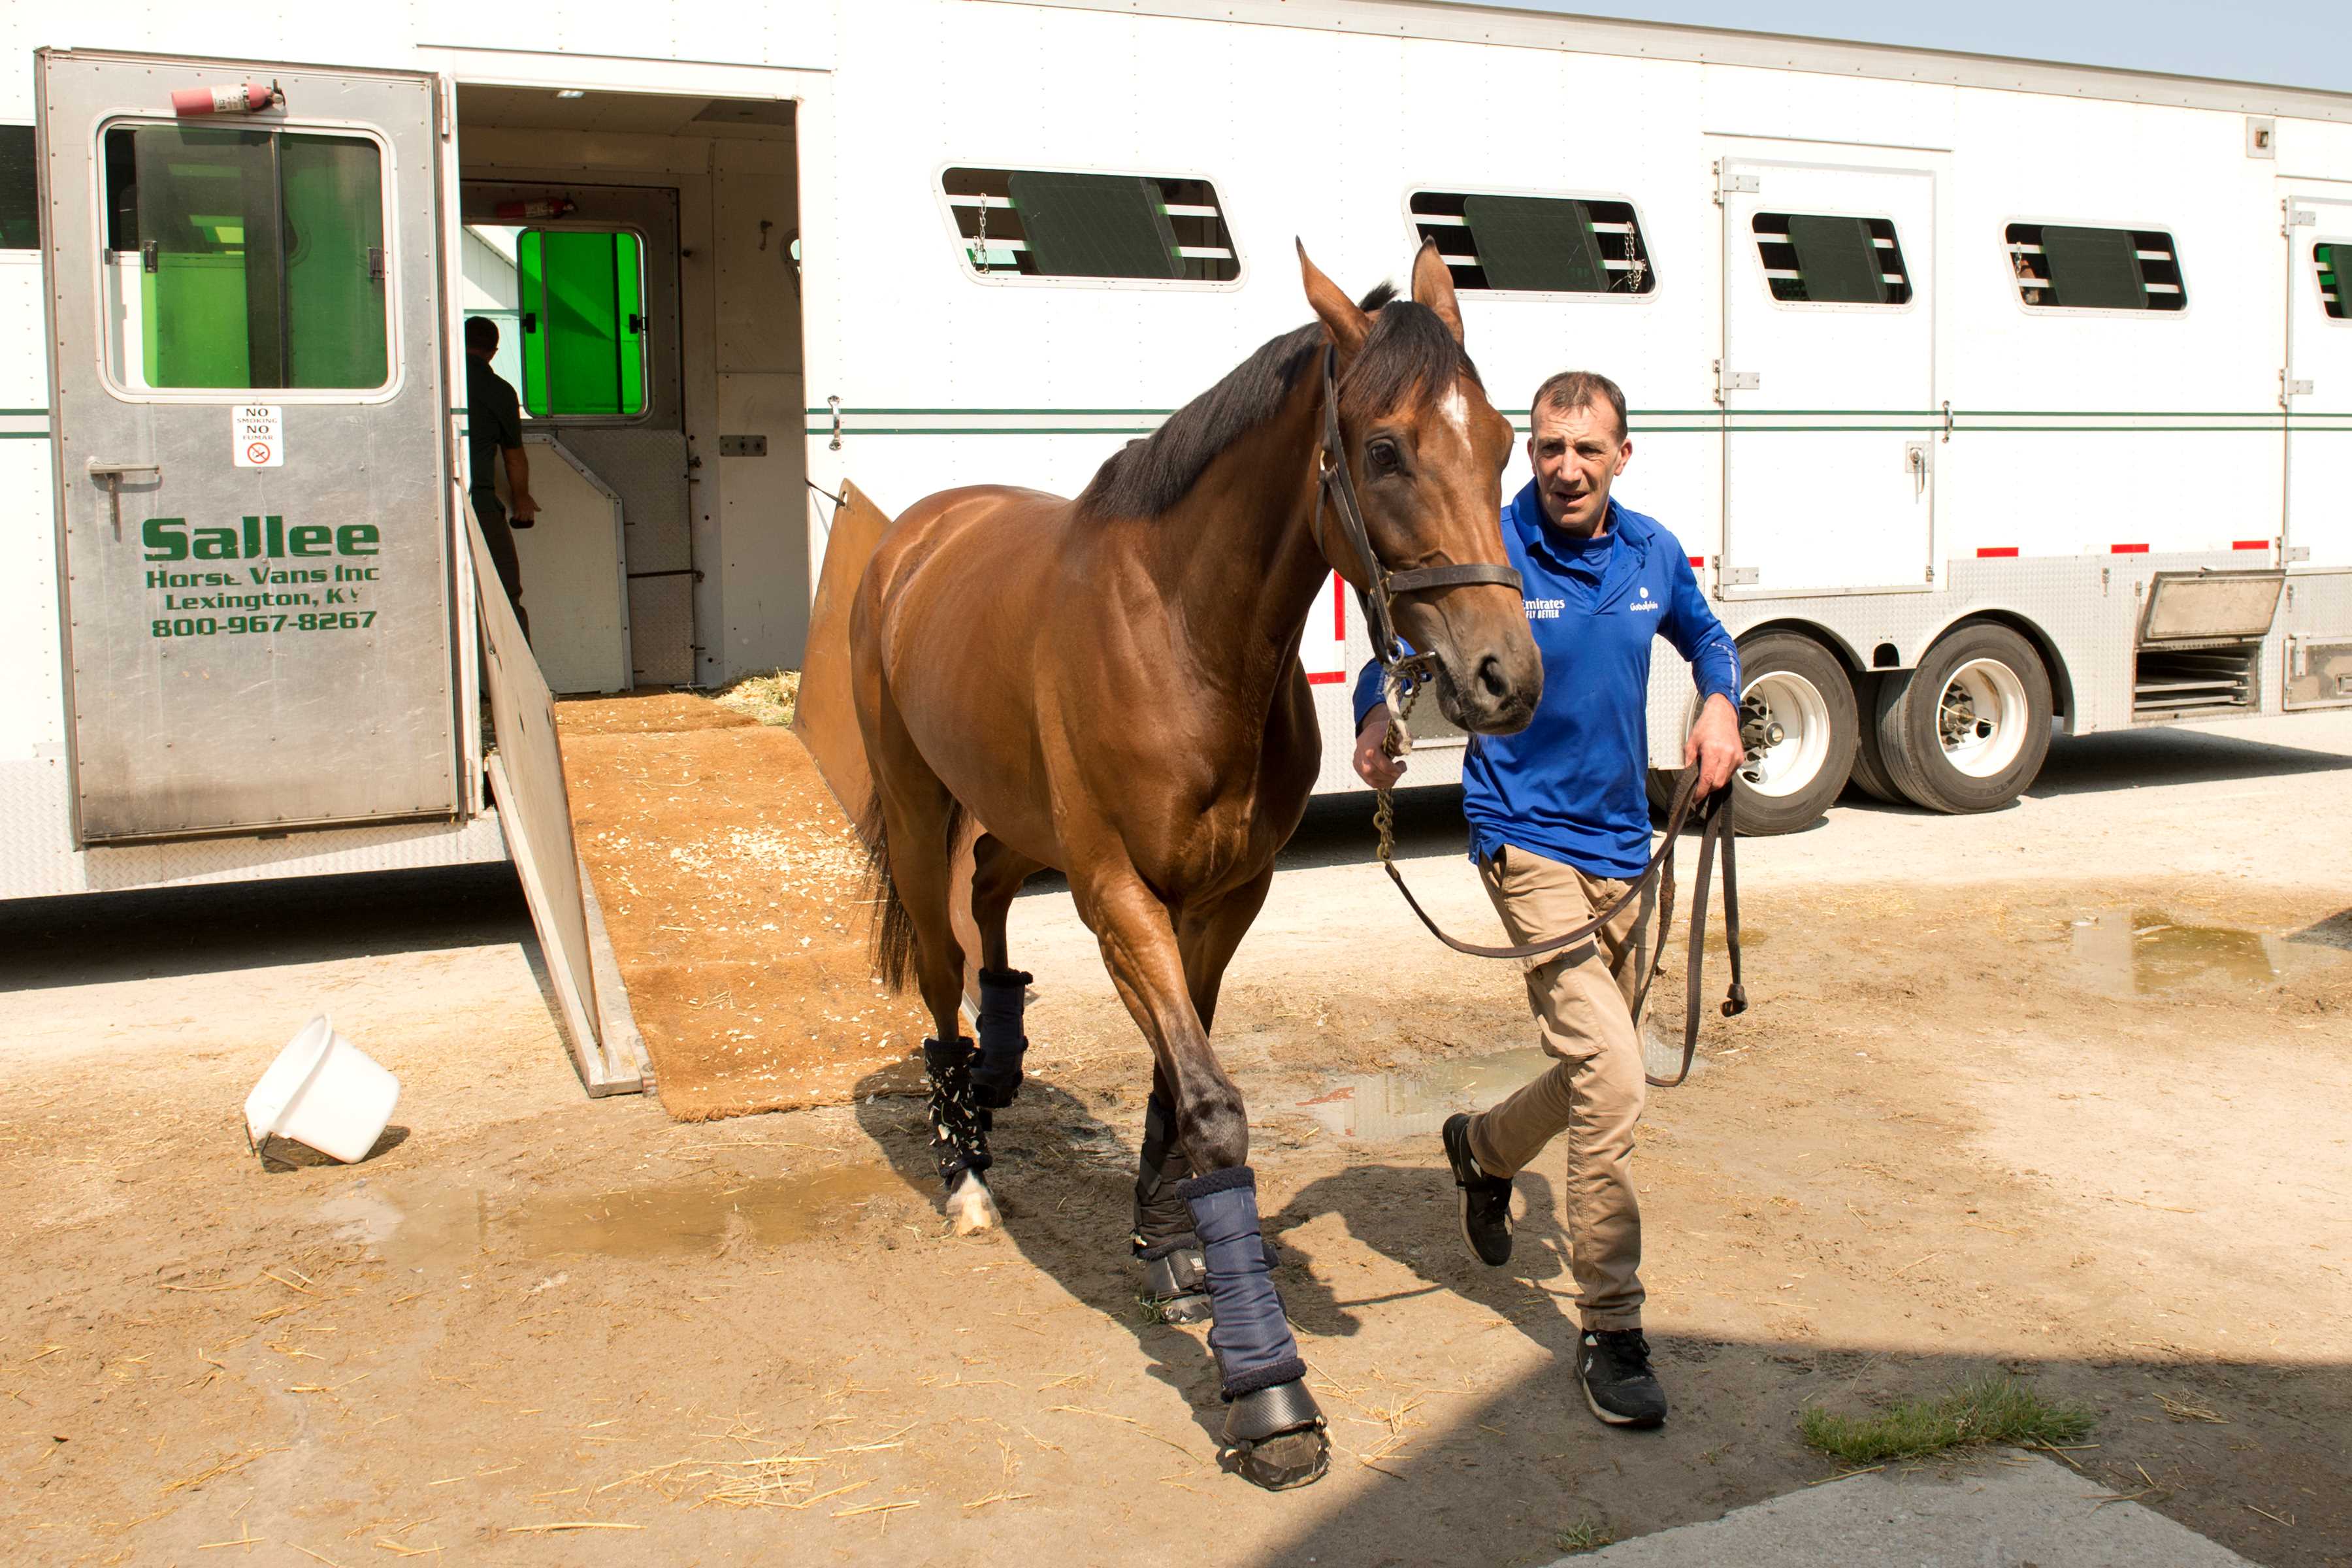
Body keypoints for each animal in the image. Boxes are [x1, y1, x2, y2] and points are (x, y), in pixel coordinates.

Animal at [847, 240, 1543, 1495]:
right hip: (924, 811)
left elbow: (1181, 1082)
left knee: (991, 901)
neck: (1185, 637)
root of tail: (915, 536)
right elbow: (1214, 1108)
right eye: (1384, 449)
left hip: (1021, 819)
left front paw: (1171, 1254)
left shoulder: (1225, 898)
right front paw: (1269, 1395)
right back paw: (965, 1169)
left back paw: (1004, 1068)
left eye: (1504, 444)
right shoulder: (1120, 896)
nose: (1505, 677)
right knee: (937, 969)